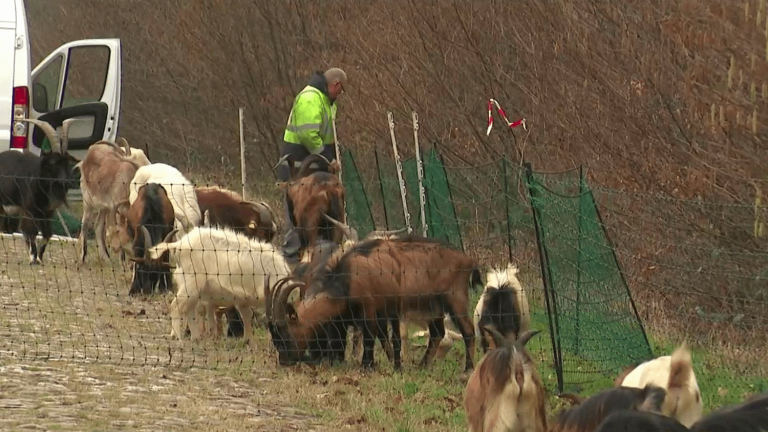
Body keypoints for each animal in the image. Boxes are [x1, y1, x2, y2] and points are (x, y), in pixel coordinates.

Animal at [0, 120, 76, 264]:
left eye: (66, 163)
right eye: (53, 163)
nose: (66, 182)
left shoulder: (47, 213)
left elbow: (47, 234)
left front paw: (40, 258)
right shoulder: (29, 210)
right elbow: (30, 231)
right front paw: (32, 257)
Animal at [147, 226, 294, 340]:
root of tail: (179, 244)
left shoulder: (243, 299)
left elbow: (246, 316)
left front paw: (249, 341)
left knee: (189, 309)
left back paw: (195, 337)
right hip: (192, 283)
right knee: (175, 306)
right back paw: (178, 337)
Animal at [264, 233, 480, 372]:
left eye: (285, 335)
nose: (284, 361)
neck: (347, 280)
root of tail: (468, 260)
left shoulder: (369, 309)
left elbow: (370, 337)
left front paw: (367, 366)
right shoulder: (368, 314)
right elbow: (380, 339)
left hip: (455, 298)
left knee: (468, 331)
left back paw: (468, 369)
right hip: (433, 306)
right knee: (437, 333)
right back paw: (422, 366)